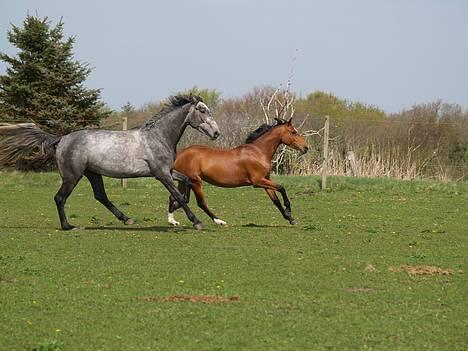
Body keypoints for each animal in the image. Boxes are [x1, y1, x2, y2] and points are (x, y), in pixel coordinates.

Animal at [0, 95, 219, 231]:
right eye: (202, 110)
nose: (216, 133)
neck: (158, 137)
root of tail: (61, 139)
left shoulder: (168, 170)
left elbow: (187, 182)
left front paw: (177, 211)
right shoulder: (161, 174)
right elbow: (179, 195)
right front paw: (196, 222)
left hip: (92, 173)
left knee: (100, 196)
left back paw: (127, 219)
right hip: (72, 176)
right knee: (60, 198)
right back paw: (69, 226)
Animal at [166, 119, 308, 227]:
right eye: (293, 132)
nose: (306, 148)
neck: (258, 152)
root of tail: (179, 154)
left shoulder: (265, 180)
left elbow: (276, 200)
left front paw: (290, 218)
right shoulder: (257, 181)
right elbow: (282, 188)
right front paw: (289, 212)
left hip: (184, 181)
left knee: (174, 197)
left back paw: (172, 220)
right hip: (196, 181)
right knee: (201, 203)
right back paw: (218, 221)